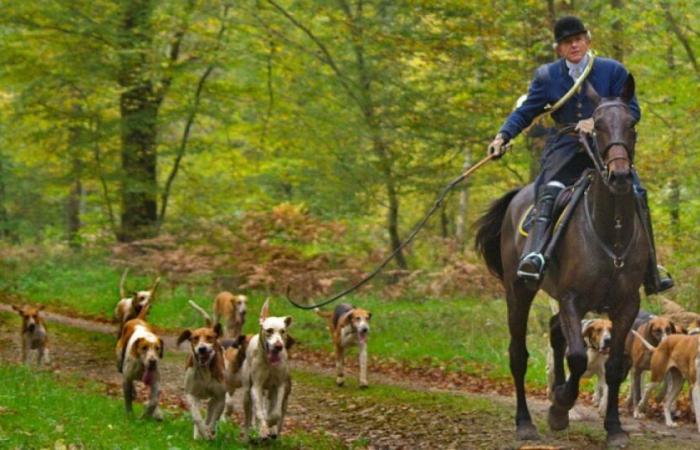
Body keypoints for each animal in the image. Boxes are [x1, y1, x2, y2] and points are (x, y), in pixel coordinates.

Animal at [476, 75, 644, 448]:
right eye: (597, 125)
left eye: (631, 123)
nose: (620, 176)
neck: (610, 230)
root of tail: (520, 194)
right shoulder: (571, 299)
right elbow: (578, 357)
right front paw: (559, 406)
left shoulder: (626, 305)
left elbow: (614, 367)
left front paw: (615, 427)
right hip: (519, 292)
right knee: (519, 355)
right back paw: (525, 422)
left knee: (555, 332)